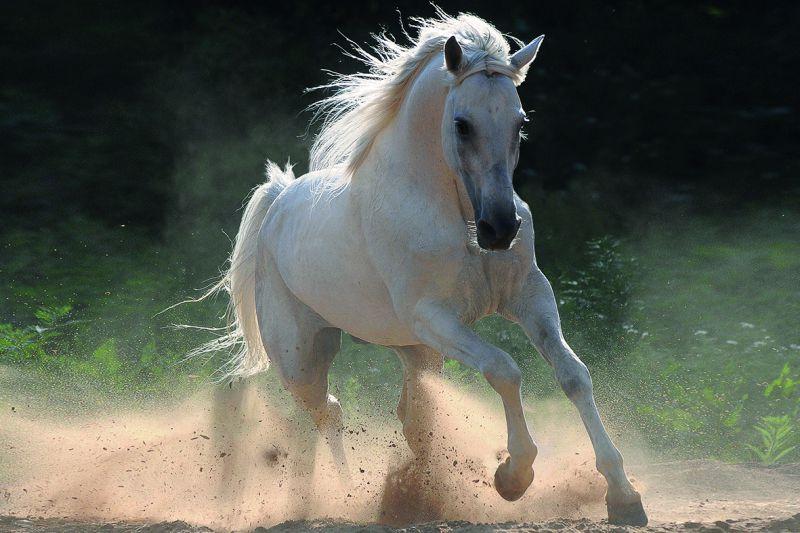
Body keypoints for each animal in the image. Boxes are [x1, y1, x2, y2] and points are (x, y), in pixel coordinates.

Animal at [196, 9, 647, 526]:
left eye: (520, 122)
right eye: (462, 124)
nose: (500, 229)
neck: (458, 217)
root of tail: (278, 198)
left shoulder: (529, 296)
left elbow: (574, 374)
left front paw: (623, 495)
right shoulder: (433, 317)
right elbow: (504, 369)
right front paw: (513, 476)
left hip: (415, 352)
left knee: (404, 419)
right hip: (302, 355)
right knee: (327, 412)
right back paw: (340, 497)